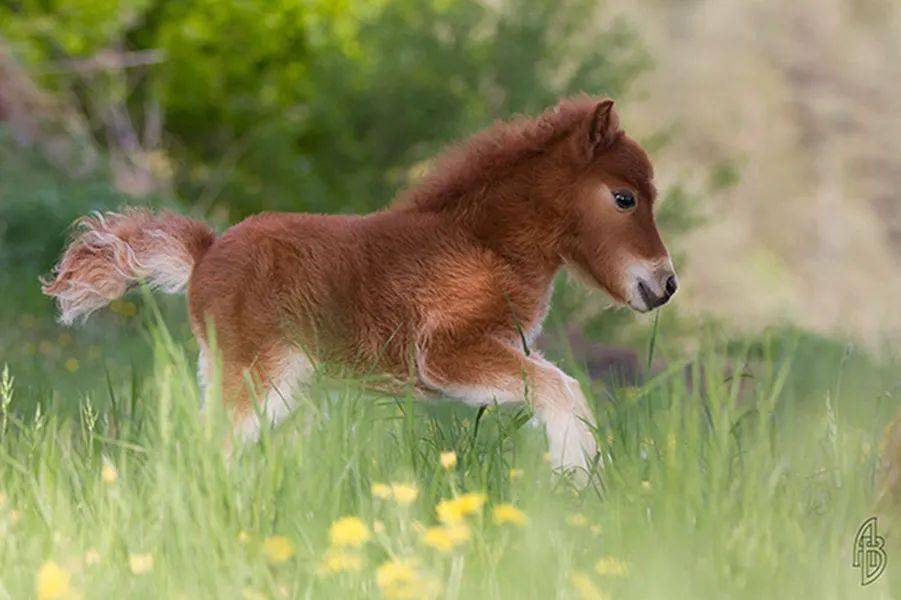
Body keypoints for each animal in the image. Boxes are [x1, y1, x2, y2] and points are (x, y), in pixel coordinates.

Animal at [42, 96, 676, 476]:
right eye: (624, 198)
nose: (665, 283)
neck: (481, 242)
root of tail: (205, 253)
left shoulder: (502, 346)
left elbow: (562, 385)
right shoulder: (444, 355)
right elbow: (559, 388)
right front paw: (577, 480)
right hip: (258, 376)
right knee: (213, 446)